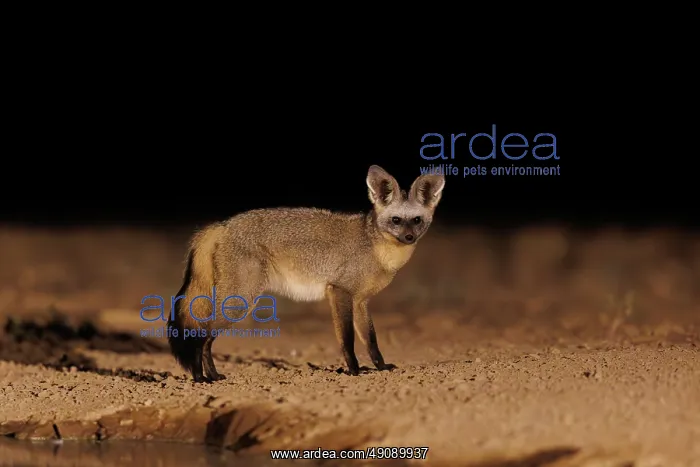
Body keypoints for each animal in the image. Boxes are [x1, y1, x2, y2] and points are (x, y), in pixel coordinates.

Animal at [167, 165, 445, 382]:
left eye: (416, 220)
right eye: (396, 220)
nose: (409, 237)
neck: (376, 247)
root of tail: (222, 224)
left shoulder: (361, 301)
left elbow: (371, 340)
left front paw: (381, 367)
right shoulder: (340, 291)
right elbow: (347, 340)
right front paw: (354, 371)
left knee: (204, 339)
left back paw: (210, 375)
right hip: (238, 303)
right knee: (200, 335)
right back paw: (201, 377)